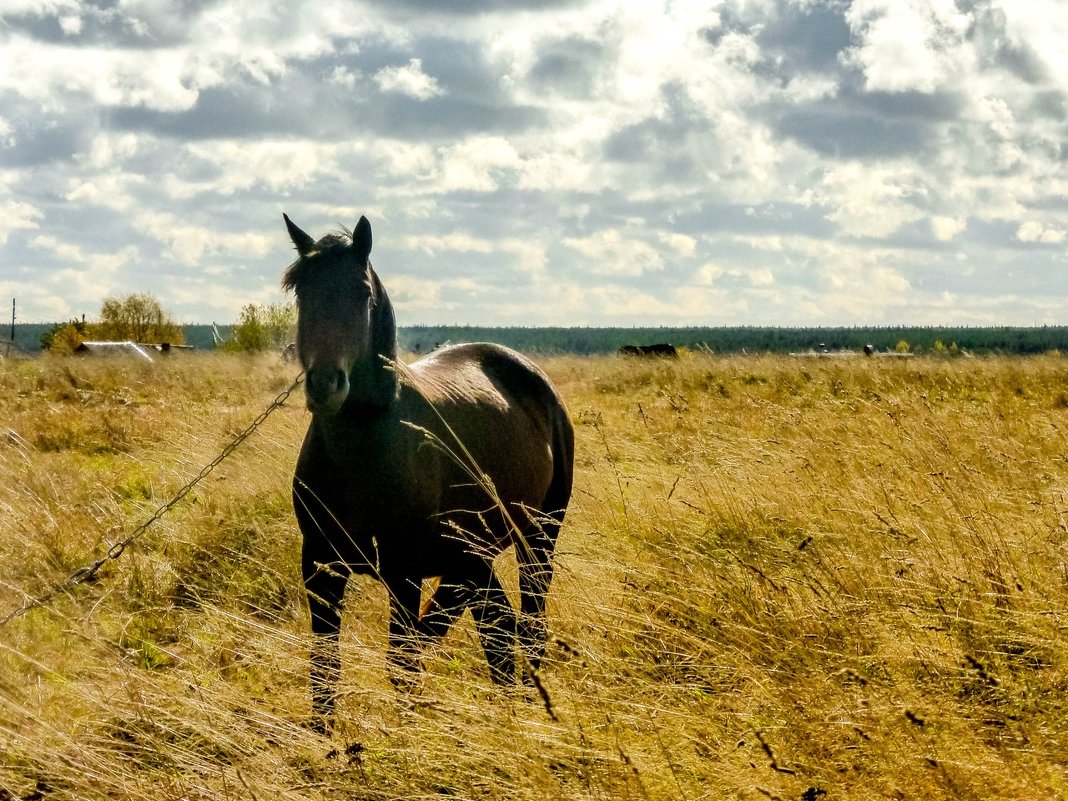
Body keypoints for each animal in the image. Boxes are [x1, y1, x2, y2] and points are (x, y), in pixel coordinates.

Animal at [279, 211, 572, 726]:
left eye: (362, 293)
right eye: (301, 292)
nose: (325, 385)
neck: (363, 448)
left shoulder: (404, 573)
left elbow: (403, 664)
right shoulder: (320, 567)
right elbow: (325, 669)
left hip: (539, 538)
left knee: (529, 624)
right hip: (474, 554)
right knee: (498, 626)